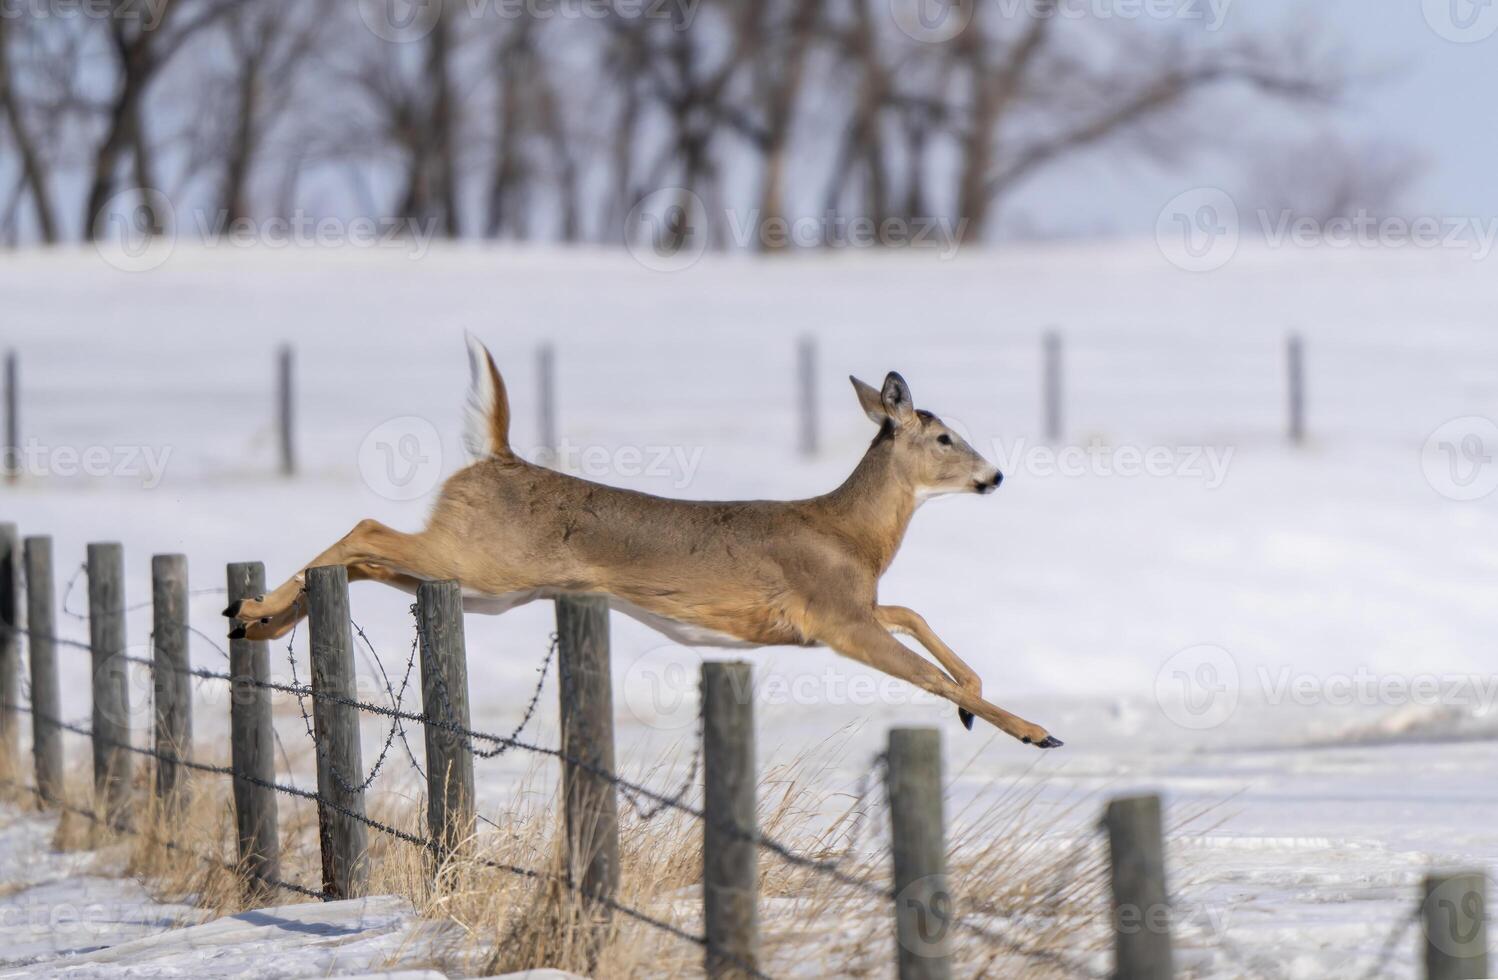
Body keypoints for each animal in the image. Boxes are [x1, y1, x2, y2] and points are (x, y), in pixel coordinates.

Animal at [224, 338, 1066, 752]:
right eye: (944, 435)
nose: (993, 475)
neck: (851, 533)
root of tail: (495, 457)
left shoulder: (848, 609)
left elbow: (917, 617)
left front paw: (977, 697)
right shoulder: (835, 617)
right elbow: (921, 667)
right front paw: (1033, 730)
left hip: (486, 586)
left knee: (368, 557)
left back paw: (259, 620)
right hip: (480, 559)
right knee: (367, 531)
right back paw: (250, 609)